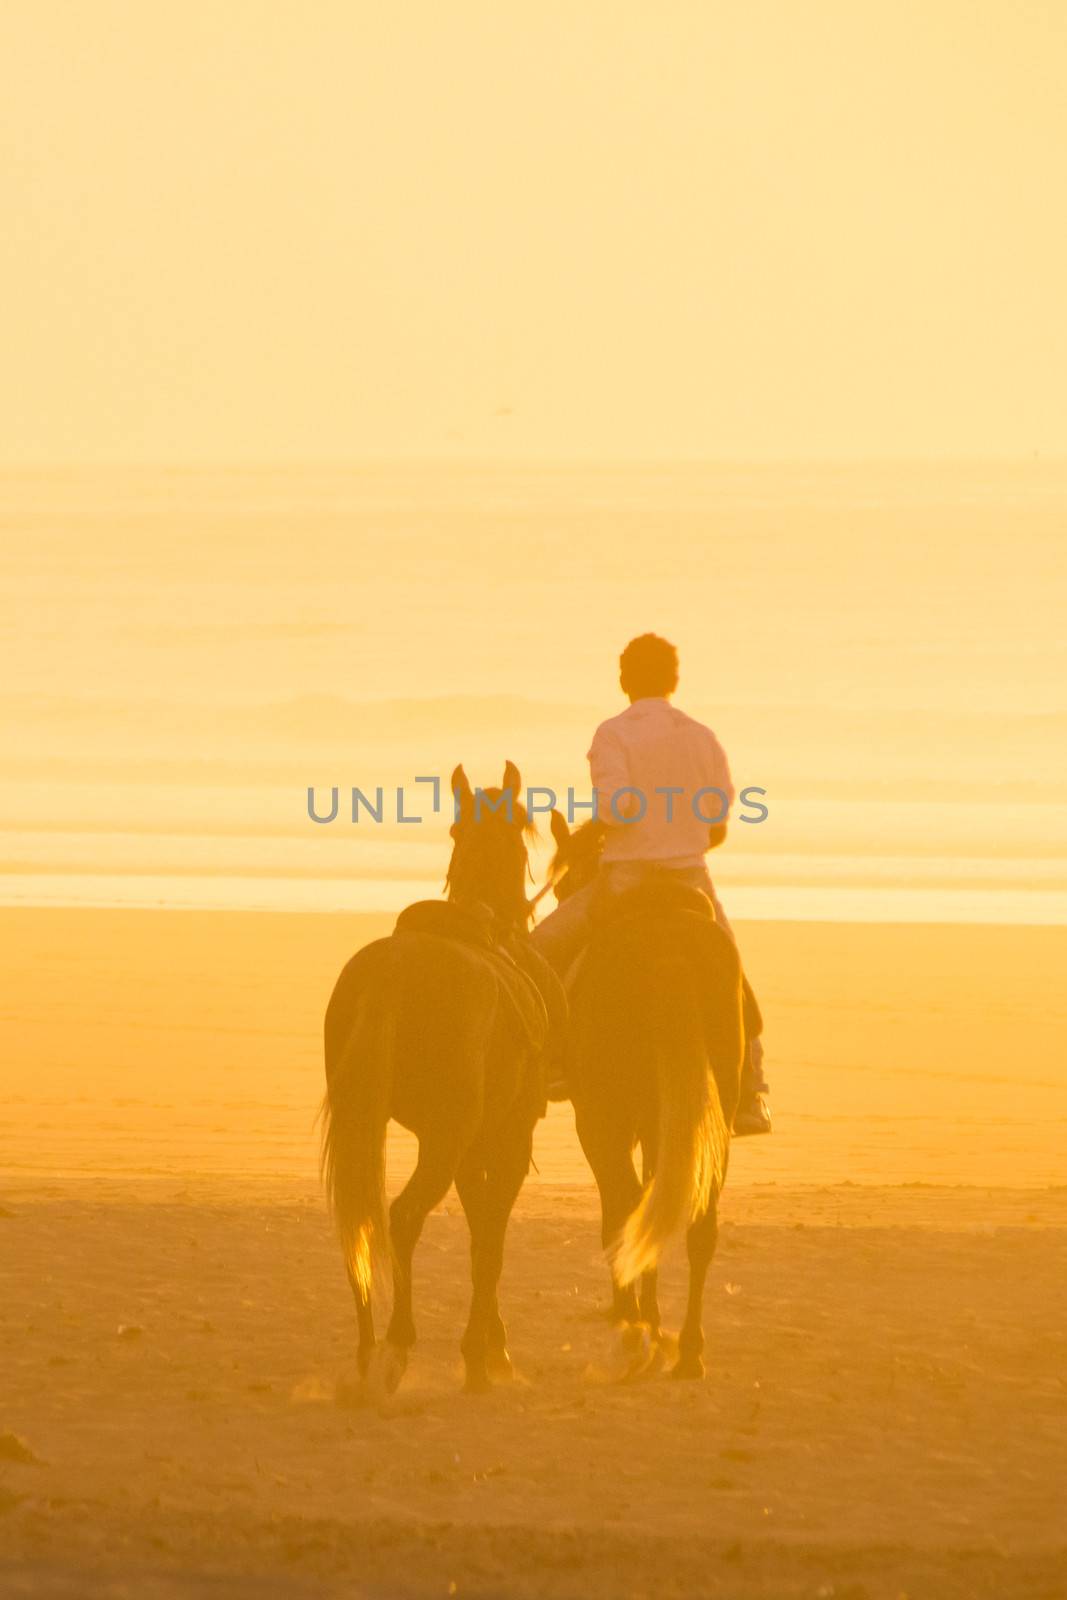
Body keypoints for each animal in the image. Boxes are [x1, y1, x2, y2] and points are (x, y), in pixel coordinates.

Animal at [321, 758, 563, 1388]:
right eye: (523, 834)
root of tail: (393, 973)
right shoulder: (506, 1140)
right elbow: (491, 1237)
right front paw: (484, 1348)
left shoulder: (469, 1146)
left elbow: (480, 1228)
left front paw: (488, 1340)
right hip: (445, 1140)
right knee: (403, 1217)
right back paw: (397, 1341)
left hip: (376, 1127)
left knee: (360, 1224)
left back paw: (366, 1346)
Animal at [543, 819, 742, 1382]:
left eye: (566, 887)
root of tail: (668, 943)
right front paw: (649, 1313)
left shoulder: (597, 1124)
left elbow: (618, 1210)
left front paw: (630, 1310)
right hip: (707, 1121)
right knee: (698, 1223)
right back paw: (690, 1349)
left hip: (605, 1119)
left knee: (627, 1205)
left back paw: (638, 1325)